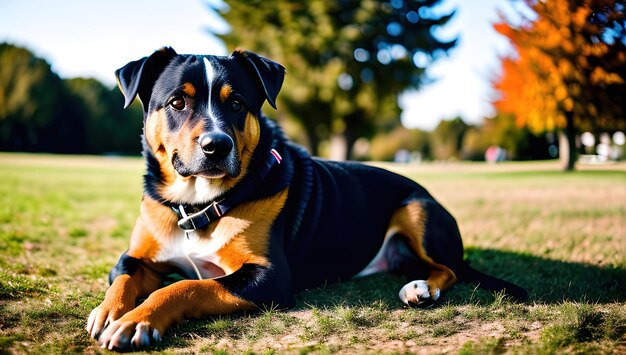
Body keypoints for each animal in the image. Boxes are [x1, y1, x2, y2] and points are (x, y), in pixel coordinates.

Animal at [85, 46, 524, 350]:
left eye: (237, 103)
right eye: (177, 102)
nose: (216, 145)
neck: (196, 206)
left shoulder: (267, 277)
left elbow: (186, 287)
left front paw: (137, 321)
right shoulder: (137, 256)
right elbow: (123, 277)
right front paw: (109, 312)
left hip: (416, 208)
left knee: (449, 269)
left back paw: (422, 289)